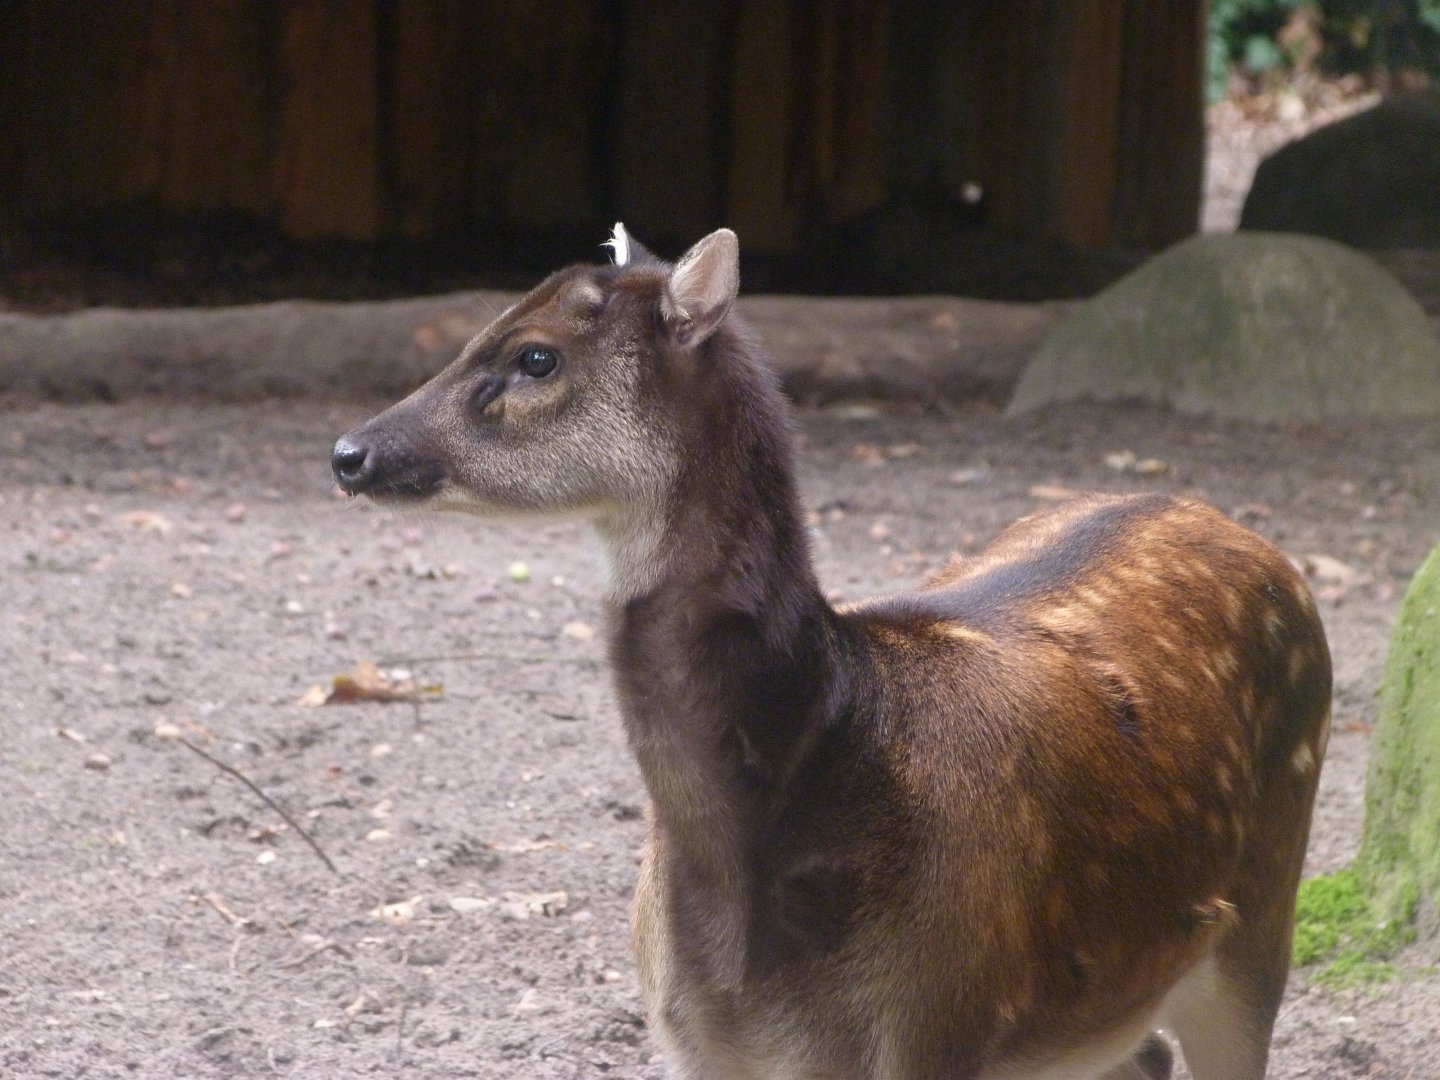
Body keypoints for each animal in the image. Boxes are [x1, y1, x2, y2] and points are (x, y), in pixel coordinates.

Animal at [332, 225, 1331, 1080]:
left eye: (535, 355)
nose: (350, 452)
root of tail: (1254, 539)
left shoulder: (933, 1016)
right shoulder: (689, 1038)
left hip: (1261, 907)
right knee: (1144, 1052)